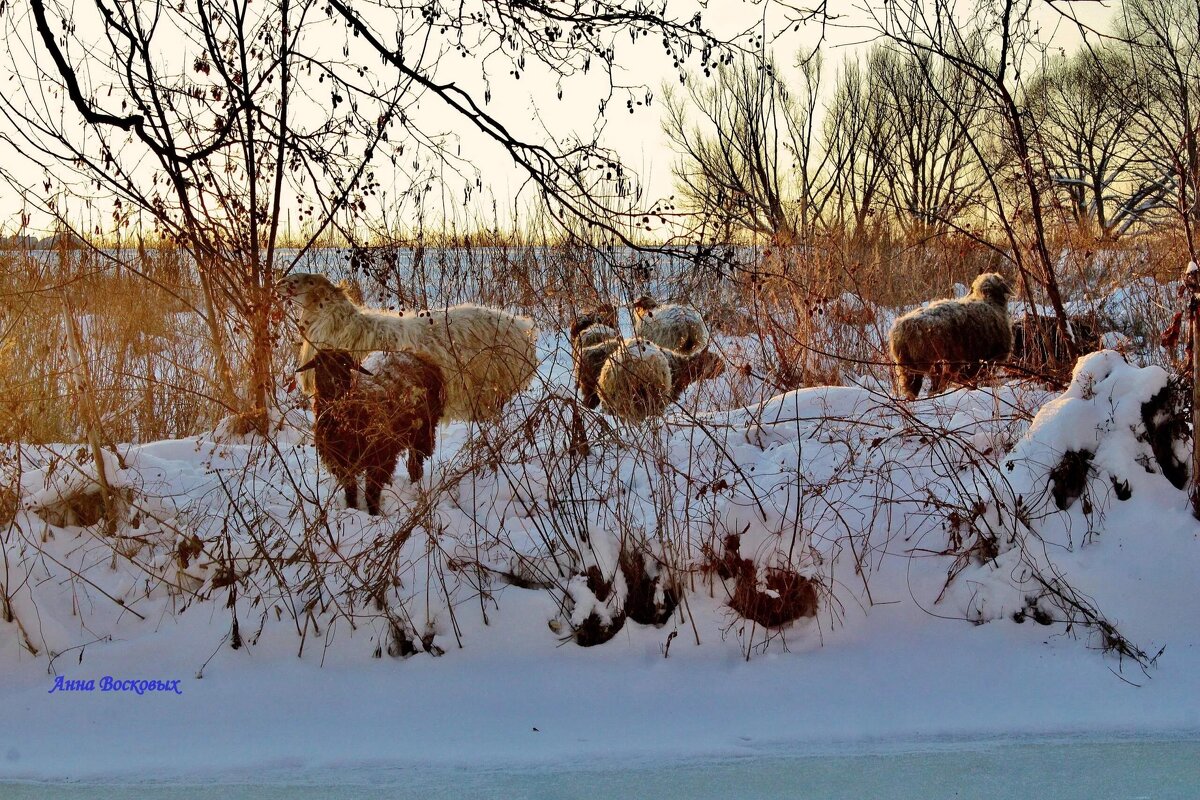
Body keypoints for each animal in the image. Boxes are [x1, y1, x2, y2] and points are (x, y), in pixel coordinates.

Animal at [297, 347, 448, 515]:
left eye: (345, 364)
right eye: (318, 363)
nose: (334, 383)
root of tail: (421, 357)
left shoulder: (380, 458)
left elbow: (372, 492)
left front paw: (374, 514)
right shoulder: (340, 460)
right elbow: (350, 490)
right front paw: (352, 509)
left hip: (424, 430)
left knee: (416, 462)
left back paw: (416, 484)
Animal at [892, 272, 1012, 400]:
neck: (989, 300)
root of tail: (905, 328)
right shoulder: (986, 360)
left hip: (908, 367)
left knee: (913, 389)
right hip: (937, 362)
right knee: (934, 388)